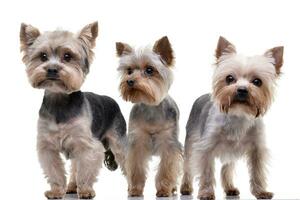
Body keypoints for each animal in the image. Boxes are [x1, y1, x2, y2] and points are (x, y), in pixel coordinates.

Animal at [19, 21, 127, 198]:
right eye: (43, 56)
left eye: (67, 56)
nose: (52, 69)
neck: (59, 101)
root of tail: (113, 101)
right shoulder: (48, 145)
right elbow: (55, 170)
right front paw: (56, 190)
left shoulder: (88, 145)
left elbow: (86, 170)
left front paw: (85, 190)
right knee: (75, 165)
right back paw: (71, 186)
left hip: (118, 139)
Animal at [116, 36, 183, 197]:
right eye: (129, 71)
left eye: (149, 70)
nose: (130, 81)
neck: (151, 107)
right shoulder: (137, 141)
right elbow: (135, 167)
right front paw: (135, 190)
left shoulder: (168, 142)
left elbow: (167, 167)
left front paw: (164, 190)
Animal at [180, 36, 284, 199]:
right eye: (229, 78)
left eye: (257, 81)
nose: (242, 89)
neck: (238, 114)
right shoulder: (205, 147)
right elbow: (206, 172)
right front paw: (206, 192)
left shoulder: (257, 149)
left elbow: (258, 171)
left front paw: (261, 191)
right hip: (191, 140)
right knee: (187, 166)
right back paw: (185, 187)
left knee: (227, 168)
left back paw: (230, 188)